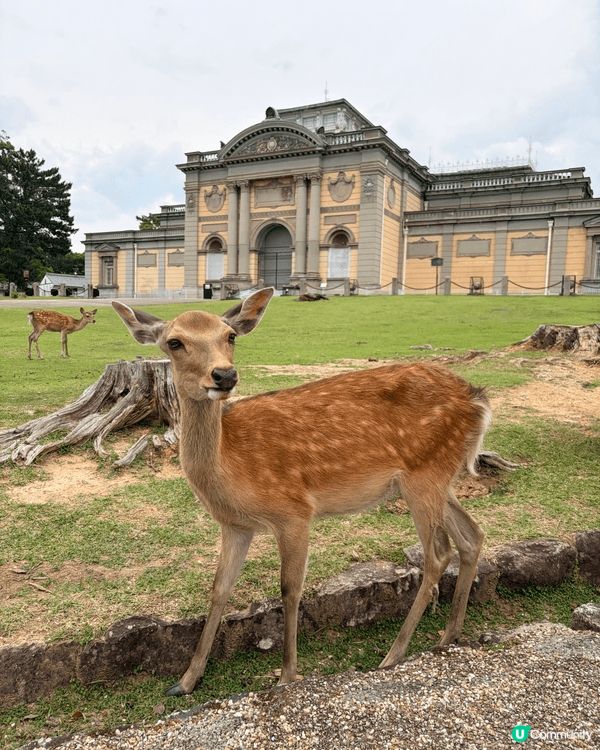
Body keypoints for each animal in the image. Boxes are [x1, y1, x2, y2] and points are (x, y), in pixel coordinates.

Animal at [112, 288, 490, 697]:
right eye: (174, 342)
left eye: (230, 336)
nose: (224, 374)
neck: (230, 469)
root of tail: (478, 399)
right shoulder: (235, 525)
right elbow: (219, 589)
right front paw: (185, 681)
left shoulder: (293, 510)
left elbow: (289, 589)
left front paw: (287, 676)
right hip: (435, 477)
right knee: (472, 535)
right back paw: (449, 637)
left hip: (425, 476)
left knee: (437, 554)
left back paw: (393, 655)